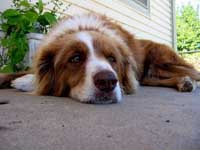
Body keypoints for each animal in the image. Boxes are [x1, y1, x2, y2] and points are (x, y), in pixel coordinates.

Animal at [0, 13, 200, 103]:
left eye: (112, 59)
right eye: (75, 59)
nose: (107, 81)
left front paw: (24, 82)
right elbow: (16, 72)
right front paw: (16, 79)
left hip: (161, 63)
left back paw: (189, 81)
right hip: (149, 75)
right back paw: (185, 82)